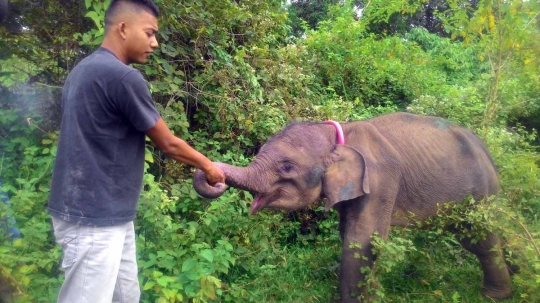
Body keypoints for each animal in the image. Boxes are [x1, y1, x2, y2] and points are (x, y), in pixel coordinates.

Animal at [193, 113, 510, 302]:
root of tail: (486, 151)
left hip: (480, 191)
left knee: (479, 237)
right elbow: (348, 232)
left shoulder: (380, 180)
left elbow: (363, 240)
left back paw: (495, 295)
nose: (212, 177)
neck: (339, 133)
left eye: (286, 166)